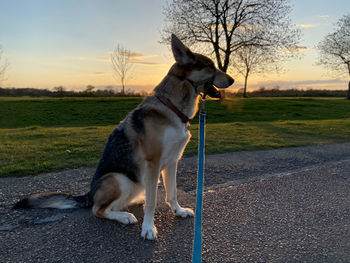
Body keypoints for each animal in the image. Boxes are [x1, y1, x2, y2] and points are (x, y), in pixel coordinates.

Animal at [13, 35, 234, 241]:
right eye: (210, 67)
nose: (232, 81)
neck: (172, 107)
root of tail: (89, 194)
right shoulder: (154, 163)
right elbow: (153, 202)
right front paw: (148, 228)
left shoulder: (172, 162)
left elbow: (171, 193)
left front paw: (178, 211)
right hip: (119, 179)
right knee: (98, 210)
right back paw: (124, 216)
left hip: (136, 182)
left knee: (118, 202)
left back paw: (133, 203)